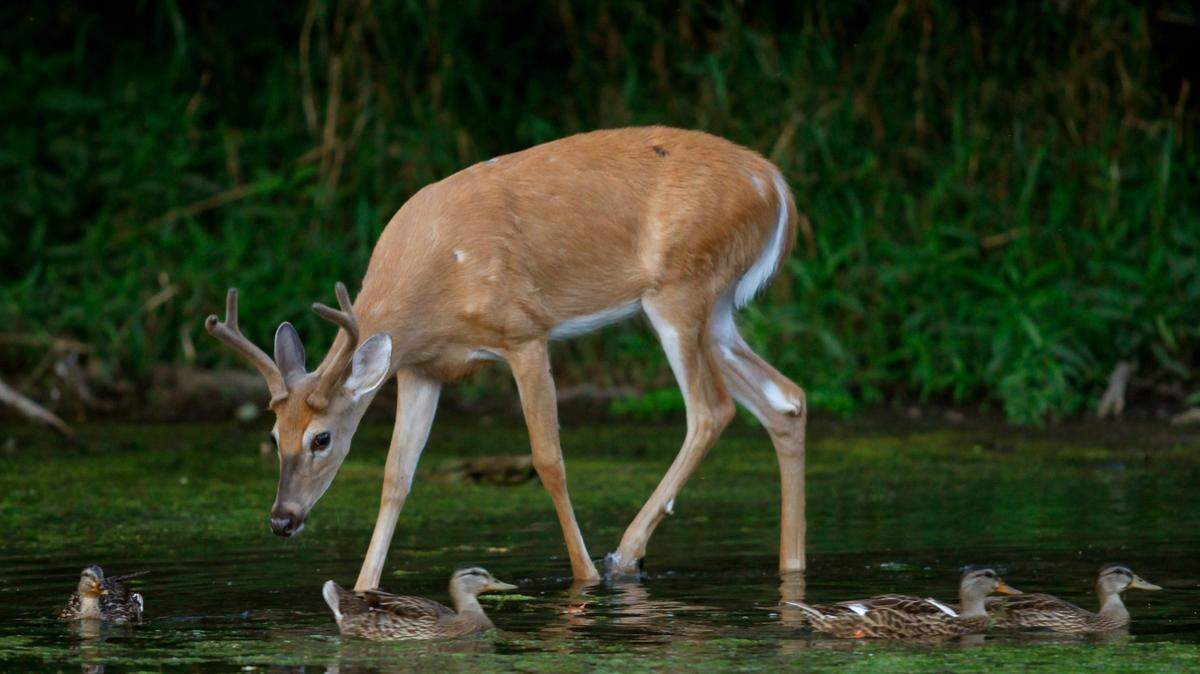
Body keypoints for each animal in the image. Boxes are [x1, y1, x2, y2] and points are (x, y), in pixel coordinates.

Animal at [205, 126, 807, 588]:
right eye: (273, 436)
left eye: (322, 438)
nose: (282, 520)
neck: (433, 286)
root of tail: (777, 186)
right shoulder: (423, 368)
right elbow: (396, 477)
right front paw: (362, 589)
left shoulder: (524, 333)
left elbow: (548, 459)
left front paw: (585, 576)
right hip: (718, 310)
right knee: (786, 399)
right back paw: (791, 566)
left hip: (681, 290)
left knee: (712, 409)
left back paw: (623, 555)